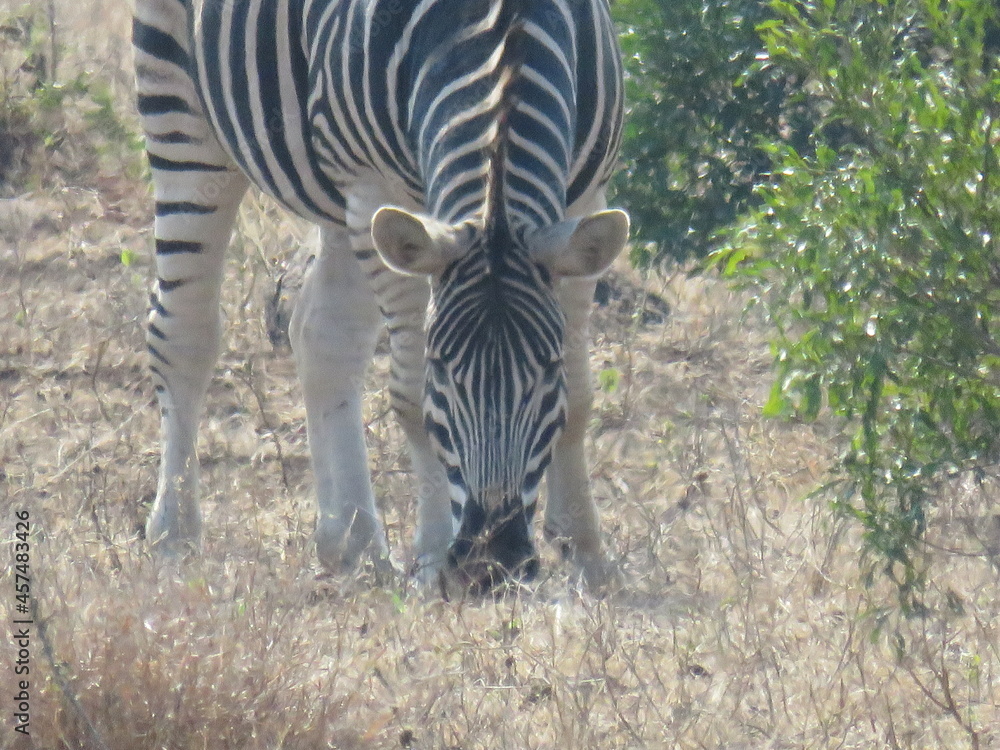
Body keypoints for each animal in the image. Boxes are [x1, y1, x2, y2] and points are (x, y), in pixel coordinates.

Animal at [133, 0, 629, 591]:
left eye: (547, 370)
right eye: (443, 370)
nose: (491, 565)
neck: (503, 42)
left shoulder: (582, 200)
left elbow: (580, 396)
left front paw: (587, 553)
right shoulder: (378, 189)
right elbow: (411, 398)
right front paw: (434, 558)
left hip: (337, 197)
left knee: (322, 334)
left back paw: (351, 543)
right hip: (180, 108)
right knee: (182, 332)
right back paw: (173, 536)